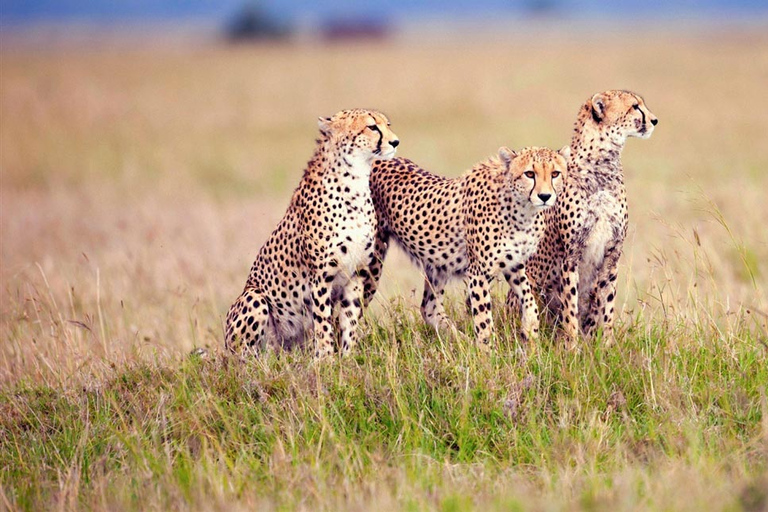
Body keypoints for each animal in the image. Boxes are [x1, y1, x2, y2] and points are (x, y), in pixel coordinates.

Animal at [224, 109, 400, 356]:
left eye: (388, 124)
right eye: (372, 127)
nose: (395, 141)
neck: (355, 184)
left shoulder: (355, 274)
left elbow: (349, 320)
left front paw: (348, 357)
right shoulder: (321, 277)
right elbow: (323, 323)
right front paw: (325, 359)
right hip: (254, 297)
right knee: (244, 357)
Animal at [364, 146, 568, 350]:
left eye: (555, 173)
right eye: (529, 174)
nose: (545, 196)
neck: (522, 209)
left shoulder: (514, 265)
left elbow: (529, 300)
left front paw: (530, 332)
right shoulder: (479, 272)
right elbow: (484, 320)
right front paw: (488, 353)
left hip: (437, 264)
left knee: (429, 308)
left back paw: (462, 342)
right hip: (372, 261)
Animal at [510, 91, 660, 348]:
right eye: (634, 107)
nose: (654, 120)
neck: (603, 166)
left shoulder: (612, 253)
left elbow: (606, 304)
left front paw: (605, 344)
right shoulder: (571, 255)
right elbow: (570, 304)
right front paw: (571, 345)